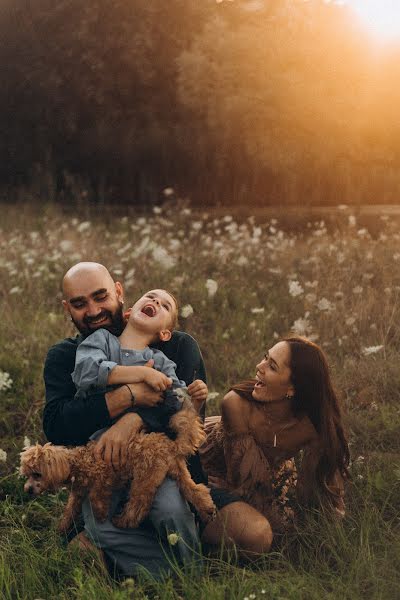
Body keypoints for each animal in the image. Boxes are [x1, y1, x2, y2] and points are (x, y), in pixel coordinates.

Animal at [20, 406, 217, 532]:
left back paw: (123, 521)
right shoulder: (77, 493)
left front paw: (100, 515)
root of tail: (171, 446)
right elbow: (70, 510)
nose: (27, 490)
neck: (76, 463)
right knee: (196, 490)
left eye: (37, 474)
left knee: (138, 505)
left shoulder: (101, 477)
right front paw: (61, 528)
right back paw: (207, 510)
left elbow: (96, 496)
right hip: (179, 472)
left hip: (143, 477)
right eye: (27, 475)